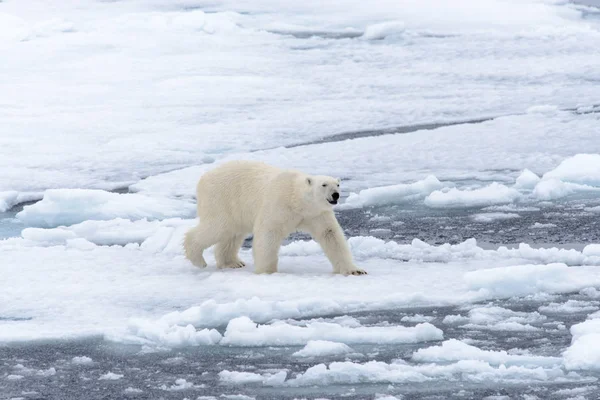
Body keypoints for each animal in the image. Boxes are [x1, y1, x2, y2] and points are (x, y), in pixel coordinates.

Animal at [185, 159, 368, 276]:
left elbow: (331, 236)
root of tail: (204, 177)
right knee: (218, 227)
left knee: (232, 234)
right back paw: (197, 259)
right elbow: (269, 232)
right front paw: (267, 271)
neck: (297, 199)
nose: (336, 195)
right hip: (221, 199)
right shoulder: (279, 205)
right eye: (324, 185)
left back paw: (232, 262)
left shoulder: (316, 213)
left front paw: (355, 270)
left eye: (338, 184)